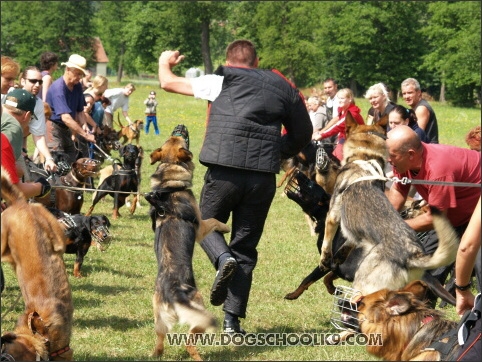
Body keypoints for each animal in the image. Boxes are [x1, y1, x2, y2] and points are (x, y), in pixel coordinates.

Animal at [144, 128, 231, 360]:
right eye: (181, 139)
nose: (180, 127)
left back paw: (155, 354)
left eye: (174, 137)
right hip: (199, 312)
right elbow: (214, 220)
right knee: (189, 344)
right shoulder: (201, 226)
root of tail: (172, 294)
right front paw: (225, 227)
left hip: (159, 320)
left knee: (160, 341)